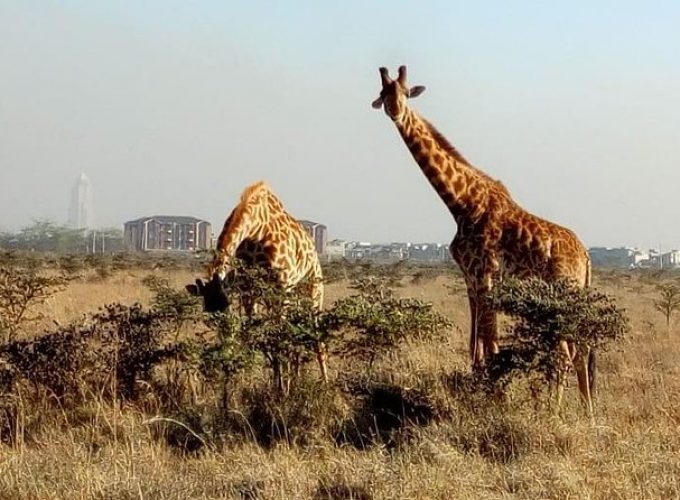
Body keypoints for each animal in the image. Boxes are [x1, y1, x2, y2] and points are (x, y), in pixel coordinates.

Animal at [185, 182, 326, 384]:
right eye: (209, 315)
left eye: (227, 308)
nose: (225, 348)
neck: (255, 230)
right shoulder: (247, 288)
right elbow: (250, 330)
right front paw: (248, 375)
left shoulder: (281, 285)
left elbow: (278, 333)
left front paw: (280, 385)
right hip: (283, 295)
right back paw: (295, 377)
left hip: (312, 287)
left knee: (315, 334)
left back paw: (323, 381)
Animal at [374, 64, 592, 412]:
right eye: (384, 93)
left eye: (406, 93)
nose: (395, 110)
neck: (460, 202)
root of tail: (585, 256)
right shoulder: (469, 277)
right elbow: (475, 343)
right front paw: (482, 390)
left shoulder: (486, 273)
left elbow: (491, 343)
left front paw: (498, 398)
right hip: (573, 298)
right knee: (580, 350)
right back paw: (587, 413)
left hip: (560, 293)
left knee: (563, 353)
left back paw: (554, 412)